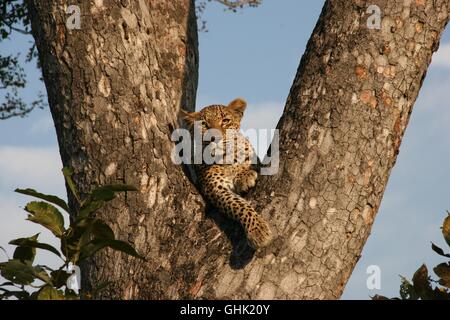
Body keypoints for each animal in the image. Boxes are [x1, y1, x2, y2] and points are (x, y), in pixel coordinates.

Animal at [180, 99, 272, 249]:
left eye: (225, 121)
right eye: (204, 124)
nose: (214, 138)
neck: (226, 157)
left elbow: (251, 164)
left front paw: (245, 175)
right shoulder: (216, 189)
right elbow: (239, 205)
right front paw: (258, 230)